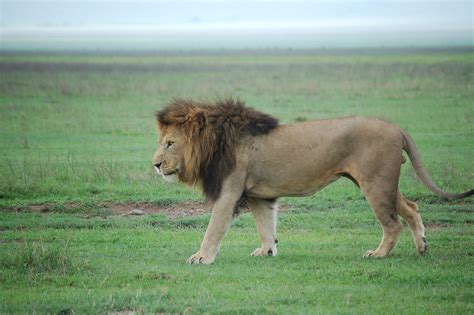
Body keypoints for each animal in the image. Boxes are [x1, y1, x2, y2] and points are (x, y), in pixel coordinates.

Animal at [154, 98, 472, 264]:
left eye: (170, 143)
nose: (155, 165)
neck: (215, 142)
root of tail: (396, 128)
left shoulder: (229, 191)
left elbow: (214, 228)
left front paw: (201, 257)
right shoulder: (259, 195)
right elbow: (266, 225)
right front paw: (267, 251)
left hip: (375, 182)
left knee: (393, 224)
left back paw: (378, 254)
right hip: (381, 182)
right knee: (411, 207)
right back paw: (422, 247)